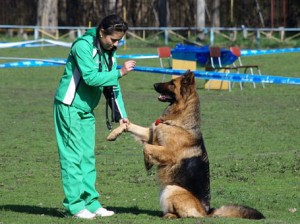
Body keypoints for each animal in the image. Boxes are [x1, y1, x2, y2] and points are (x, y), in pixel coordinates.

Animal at [107, 70, 264, 219]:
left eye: (172, 84)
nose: (154, 84)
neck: (177, 122)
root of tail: (207, 211)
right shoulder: (151, 134)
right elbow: (128, 126)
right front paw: (113, 134)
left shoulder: (169, 153)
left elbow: (146, 147)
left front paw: (148, 163)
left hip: (171, 188)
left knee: (184, 215)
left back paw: (169, 215)